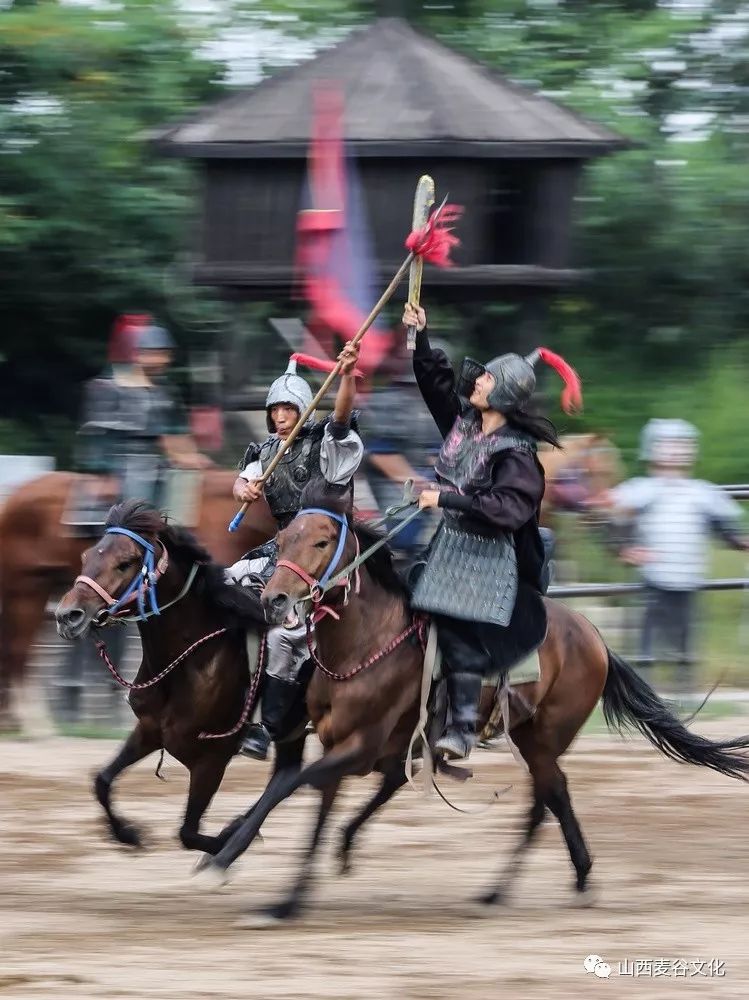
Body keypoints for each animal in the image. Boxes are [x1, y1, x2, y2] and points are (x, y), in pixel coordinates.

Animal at [0, 472, 274, 732]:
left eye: (125, 563)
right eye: (85, 557)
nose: (68, 616)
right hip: (28, 589)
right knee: (18, 652)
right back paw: (35, 721)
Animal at [52, 504, 280, 856]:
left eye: (125, 562)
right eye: (87, 555)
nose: (67, 616)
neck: (192, 659)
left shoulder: (211, 761)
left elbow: (189, 833)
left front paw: (233, 835)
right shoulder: (149, 730)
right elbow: (101, 781)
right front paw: (129, 833)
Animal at [197, 480, 748, 924]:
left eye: (322, 540)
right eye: (285, 537)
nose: (274, 601)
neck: (367, 641)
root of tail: (593, 637)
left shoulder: (357, 746)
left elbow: (293, 786)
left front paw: (225, 854)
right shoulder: (339, 744)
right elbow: (308, 805)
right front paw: (279, 895)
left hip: (543, 738)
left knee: (549, 798)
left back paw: (548, 884)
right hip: (521, 736)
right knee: (535, 798)